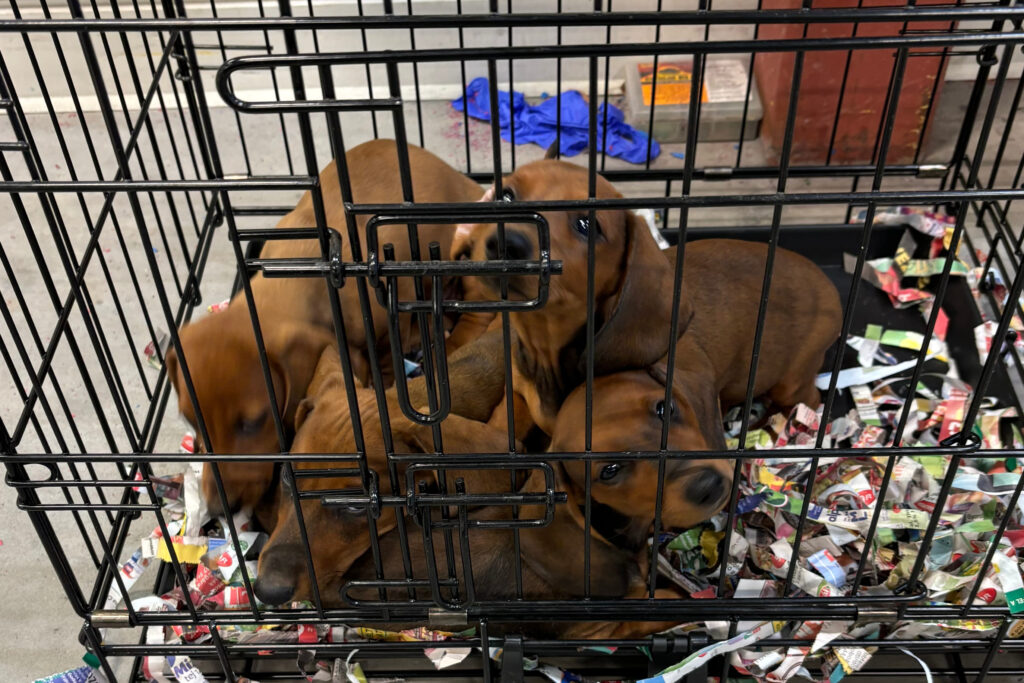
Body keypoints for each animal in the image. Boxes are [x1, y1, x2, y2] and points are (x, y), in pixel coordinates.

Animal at [550, 238, 842, 549]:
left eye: (665, 408)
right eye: (610, 470)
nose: (707, 486)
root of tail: (828, 286)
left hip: (793, 379)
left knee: (808, 398)